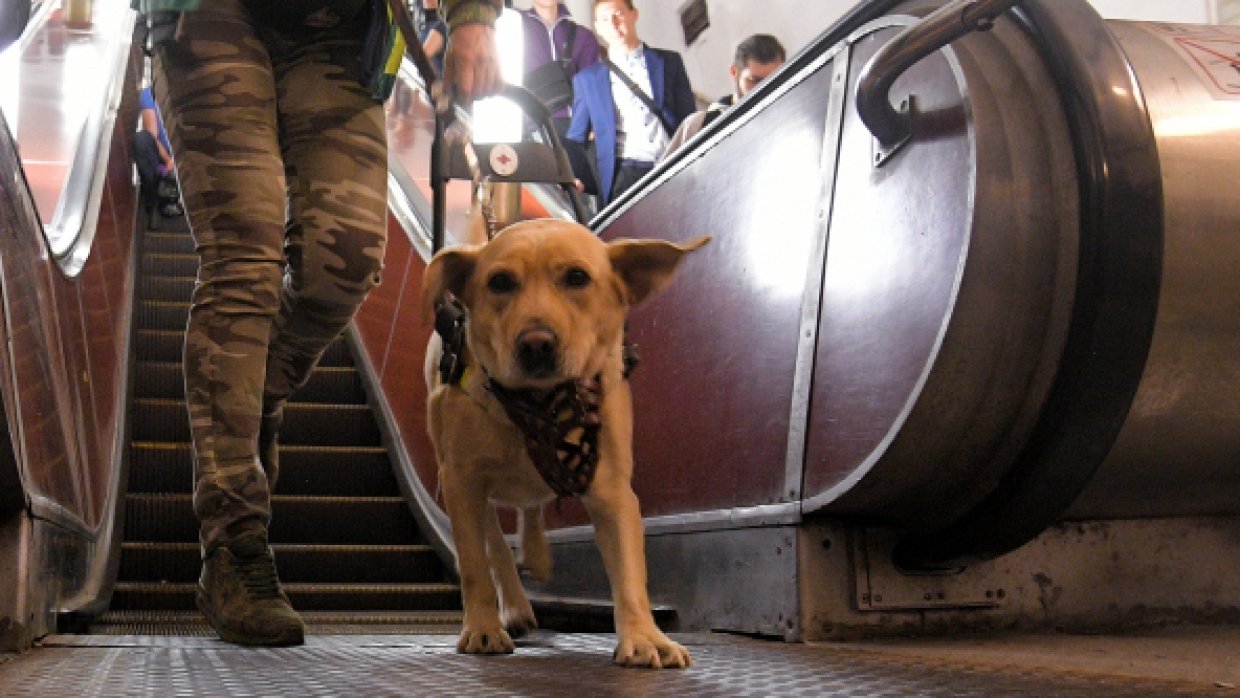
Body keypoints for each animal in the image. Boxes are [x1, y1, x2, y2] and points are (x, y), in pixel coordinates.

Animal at [424, 218, 709, 664]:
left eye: (577, 277)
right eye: (500, 281)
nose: (536, 343)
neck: (540, 404)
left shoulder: (613, 490)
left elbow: (630, 572)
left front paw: (645, 636)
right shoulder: (461, 480)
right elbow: (474, 565)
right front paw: (483, 626)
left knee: (531, 508)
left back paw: (537, 553)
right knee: (496, 543)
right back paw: (514, 604)